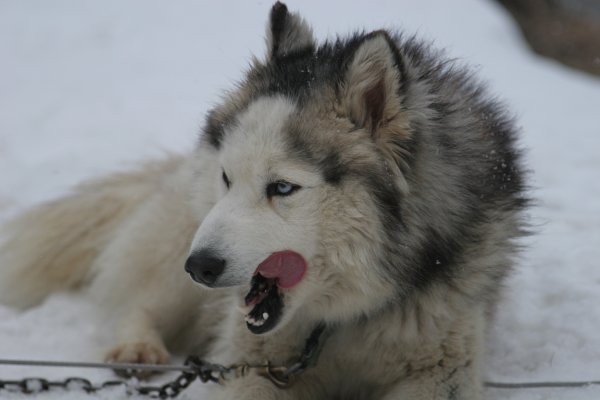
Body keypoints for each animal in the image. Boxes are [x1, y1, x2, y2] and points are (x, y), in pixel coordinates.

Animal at [0, 2, 528, 399]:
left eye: (282, 188)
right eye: (227, 178)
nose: (200, 267)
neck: (342, 320)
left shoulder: (440, 366)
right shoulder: (252, 364)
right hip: (179, 243)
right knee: (137, 300)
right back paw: (138, 350)